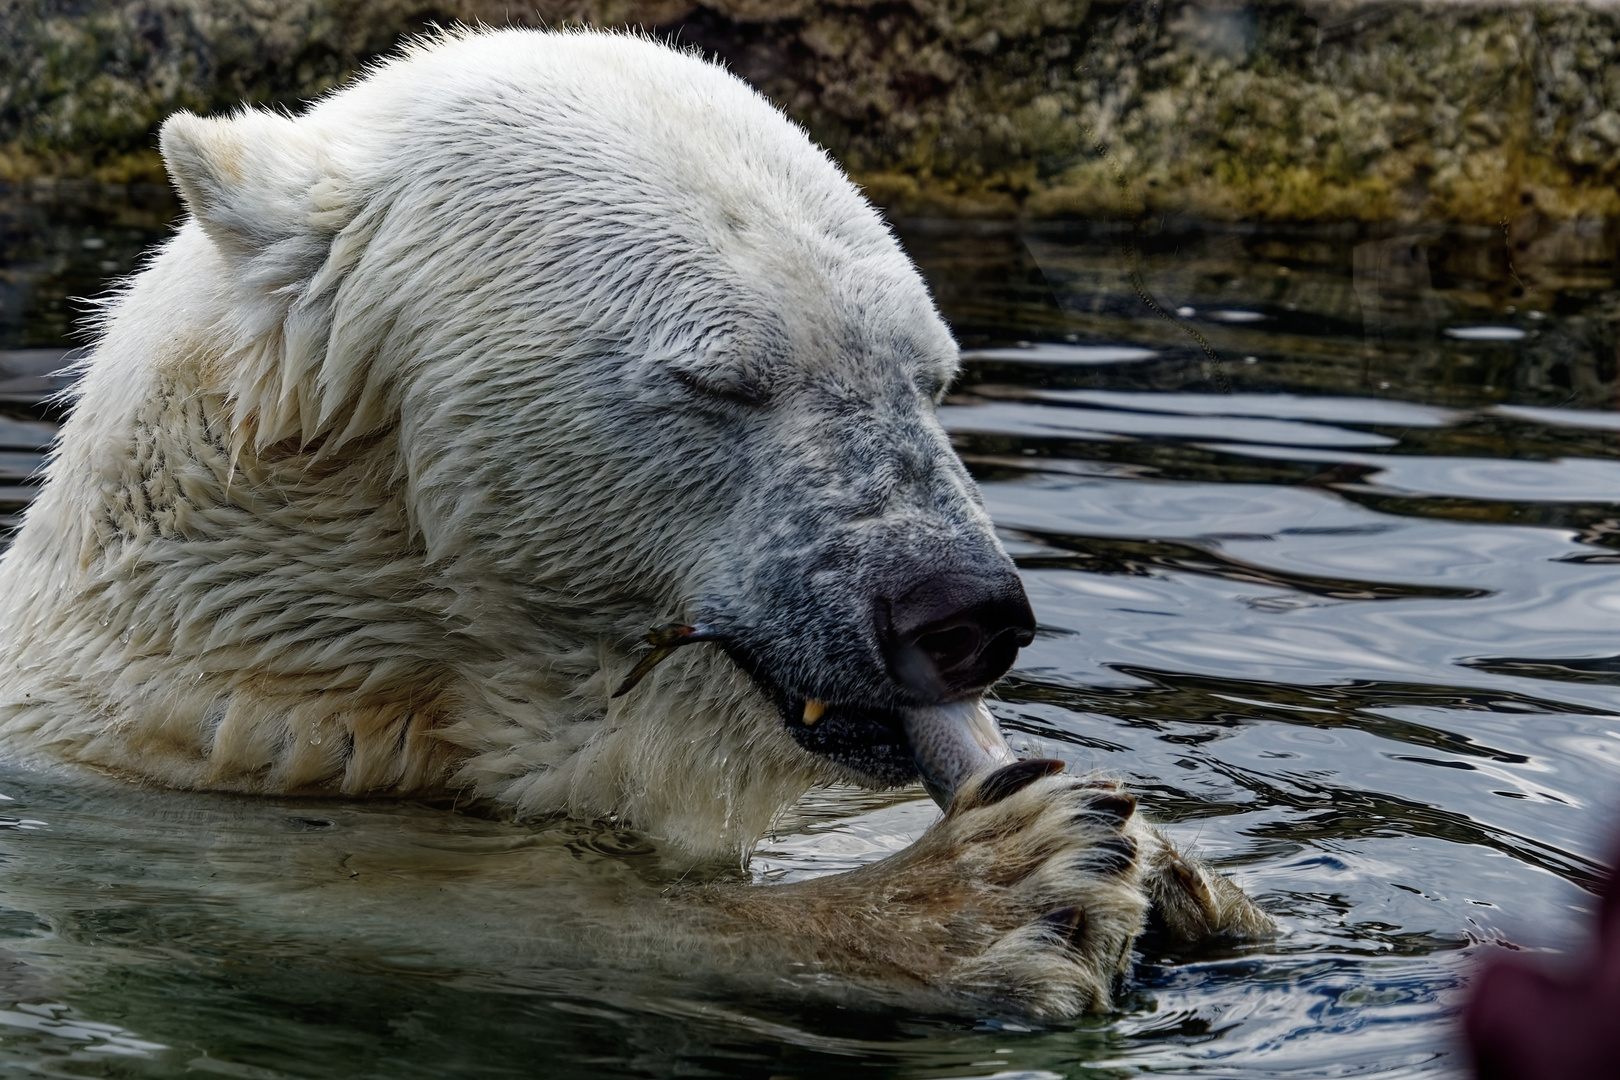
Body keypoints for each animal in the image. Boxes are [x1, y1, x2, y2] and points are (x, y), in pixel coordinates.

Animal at [0, 29, 1270, 1016]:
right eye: (722, 380)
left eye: (930, 374)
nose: (963, 612)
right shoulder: (171, 795)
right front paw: (986, 898)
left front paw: (1177, 875)